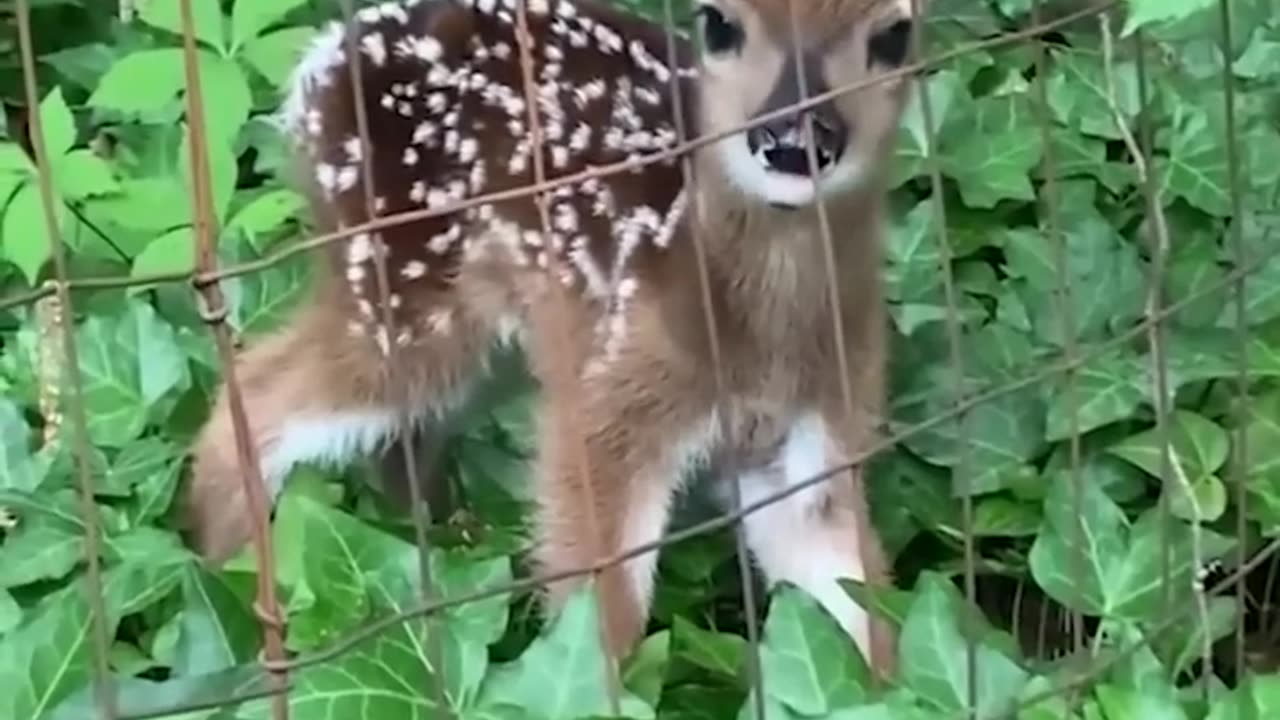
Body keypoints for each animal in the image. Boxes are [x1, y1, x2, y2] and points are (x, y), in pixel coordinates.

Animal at [186, 0, 921, 671]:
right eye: (718, 22)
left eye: (895, 32)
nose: (793, 135)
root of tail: (323, 59)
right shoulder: (610, 410)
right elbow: (602, 612)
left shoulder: (816, 443)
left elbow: (862, 604)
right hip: (406, 298)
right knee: (255, 391)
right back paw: (231, 590)